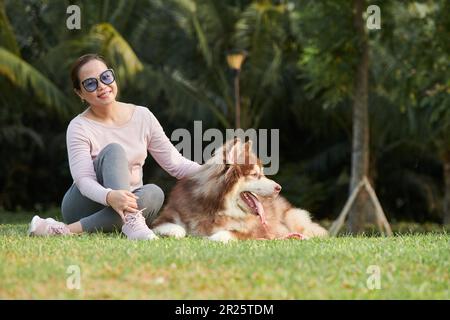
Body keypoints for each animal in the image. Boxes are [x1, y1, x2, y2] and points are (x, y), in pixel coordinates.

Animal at [151, 138, 326, 242]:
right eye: (255, 175)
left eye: (262, 173)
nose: (279, 188)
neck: (216, 208)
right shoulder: (165, 219)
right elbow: (178, 229)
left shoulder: (257, 232)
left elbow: (224, 234)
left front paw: (210, 238)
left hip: (293, 217)